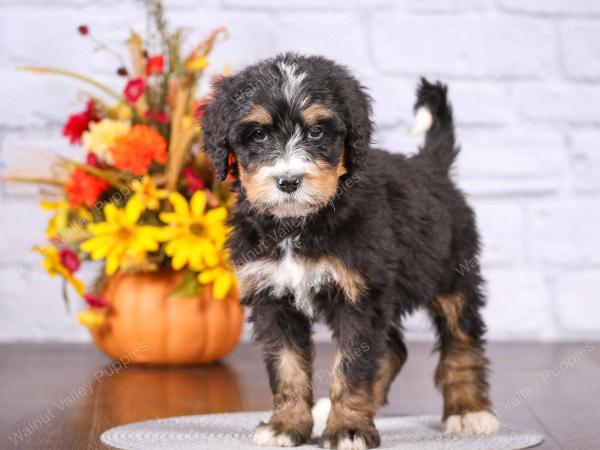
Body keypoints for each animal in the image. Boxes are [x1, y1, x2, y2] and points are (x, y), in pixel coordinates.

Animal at [204, 53, 500, 450]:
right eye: (258, 134)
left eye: (316, 132)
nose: (288, 182)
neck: (298, 226)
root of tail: (430, 167)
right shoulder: (273, 298)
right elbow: (288, 367)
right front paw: (287, 426)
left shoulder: (359, 297)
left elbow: (351, 367)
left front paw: (348, 430)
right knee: (394, 348)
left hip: (453, 278)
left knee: (462, 342)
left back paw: (469, 411)